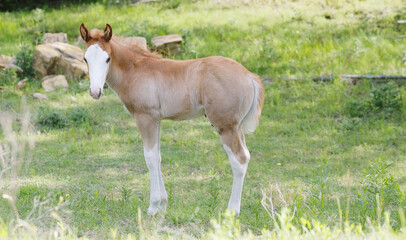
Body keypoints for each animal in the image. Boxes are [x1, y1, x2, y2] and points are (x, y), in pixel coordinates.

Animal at [80, 23, 264, 216]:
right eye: (85, 59)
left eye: (107, 59)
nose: (95, 92)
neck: (135, 70)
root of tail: (249, 76)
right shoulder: (156, 119)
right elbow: (158, 156)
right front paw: (162, 205)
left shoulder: (145, 117)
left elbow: (150, 157)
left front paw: (153, 206)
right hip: (237, 128)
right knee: (246, 156)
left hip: (226, 127)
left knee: (239, 160)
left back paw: (232, 210)